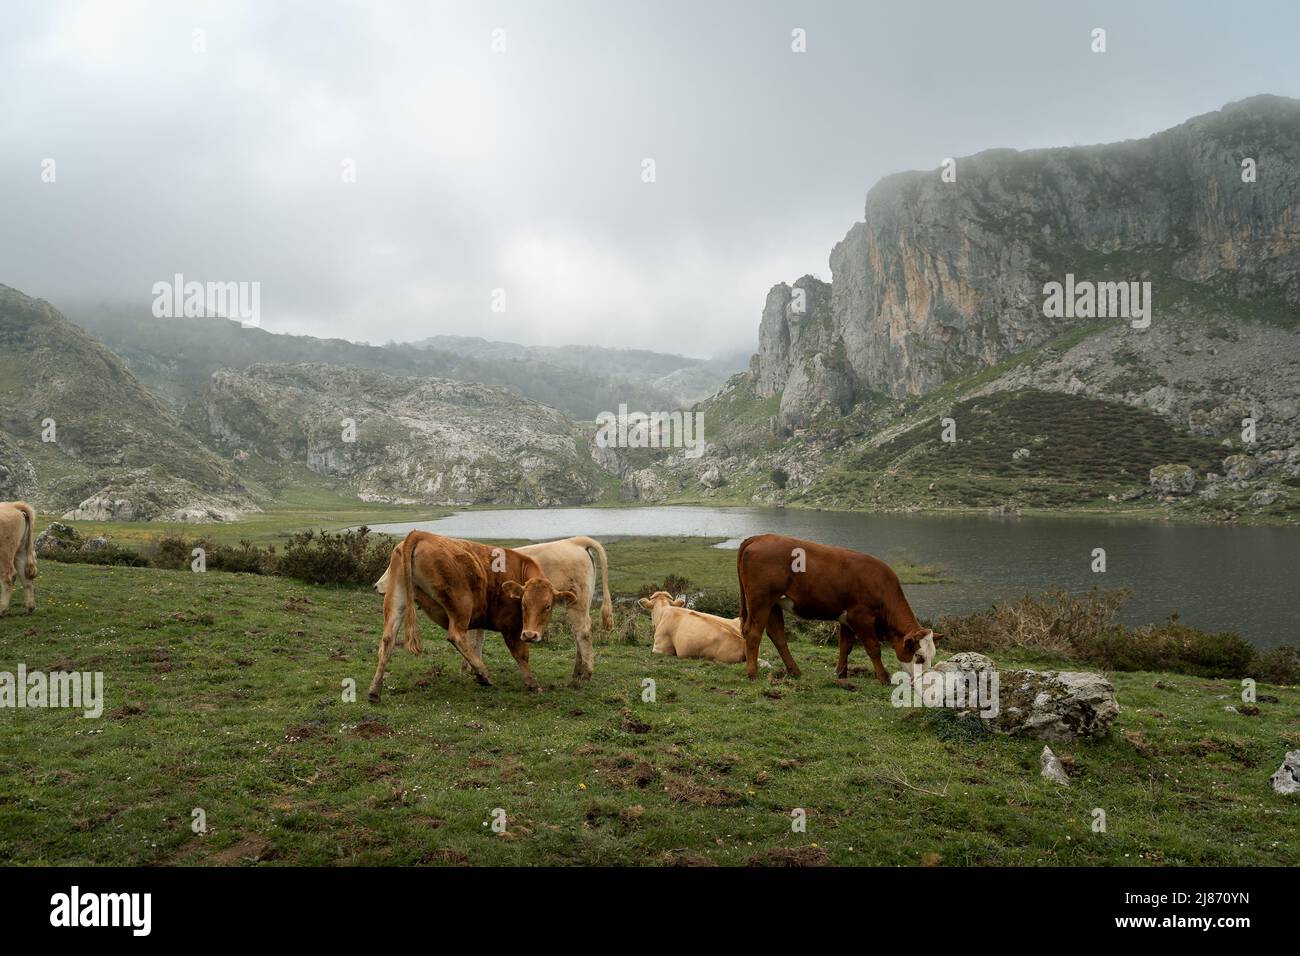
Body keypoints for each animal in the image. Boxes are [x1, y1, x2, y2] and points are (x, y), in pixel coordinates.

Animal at [368, 531, 577, 700]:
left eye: (547, 606)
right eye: (523, 604)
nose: (530, 635)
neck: (519, 571)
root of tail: (420, 534)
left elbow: (477, 644)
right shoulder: (511, 626)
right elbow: (521, 654)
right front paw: (532, 683)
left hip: (397, 600)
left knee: (387, 640)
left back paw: (374, 691)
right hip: (461, 604)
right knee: (456, 635)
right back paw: (484, 675)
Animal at [737, 534, 941, 683]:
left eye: (933, 655)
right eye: (920, 657)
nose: (926, 681)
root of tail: (759, 537)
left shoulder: (847, 619)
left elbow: (845, 647)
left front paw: (841, 674)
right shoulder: (861, 617)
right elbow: (873, 648)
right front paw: (884, 678)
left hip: (773, 604)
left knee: (777, 636)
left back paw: (795, 671)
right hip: (761, 601)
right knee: (753, 633)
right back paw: (752, 674)